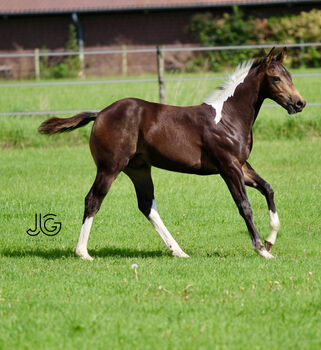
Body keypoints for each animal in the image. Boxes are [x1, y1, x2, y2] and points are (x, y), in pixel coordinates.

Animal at [39, 47, 304, 260]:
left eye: (290, 76)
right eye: (275, 78)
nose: (299, 103)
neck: (227, 118)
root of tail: (101, 113)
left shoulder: (241, 165)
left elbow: (268, 188)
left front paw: (270, 242)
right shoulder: (228, 167)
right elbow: (245, 206)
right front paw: (261, 249)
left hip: (138, 169)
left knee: (147, 205)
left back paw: (178, 251)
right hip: (110, 167)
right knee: (93, 199)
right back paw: (83, 253)